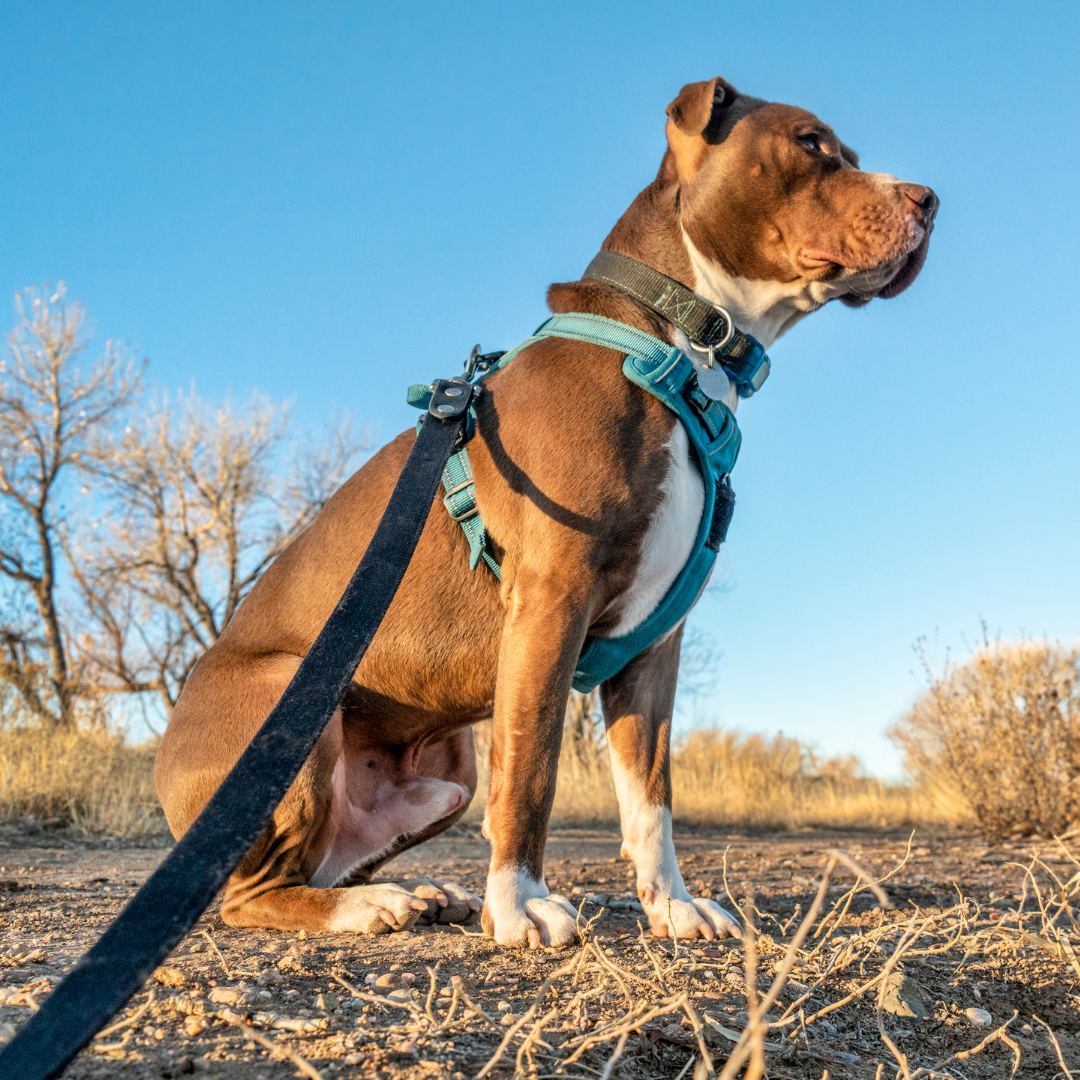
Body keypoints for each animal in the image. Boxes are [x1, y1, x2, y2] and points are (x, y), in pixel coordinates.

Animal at [154, 78, 937, 946]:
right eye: (809, 144)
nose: (929, 200)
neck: (676, 344)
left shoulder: (652, 644)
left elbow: (652, 795)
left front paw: (672, 905)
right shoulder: (551, 602)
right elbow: (531, 770)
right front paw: (521, 904)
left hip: (447, 774)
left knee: (323, 861)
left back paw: (413, 892)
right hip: (291, 709)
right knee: (250, 892)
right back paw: (367, 905)